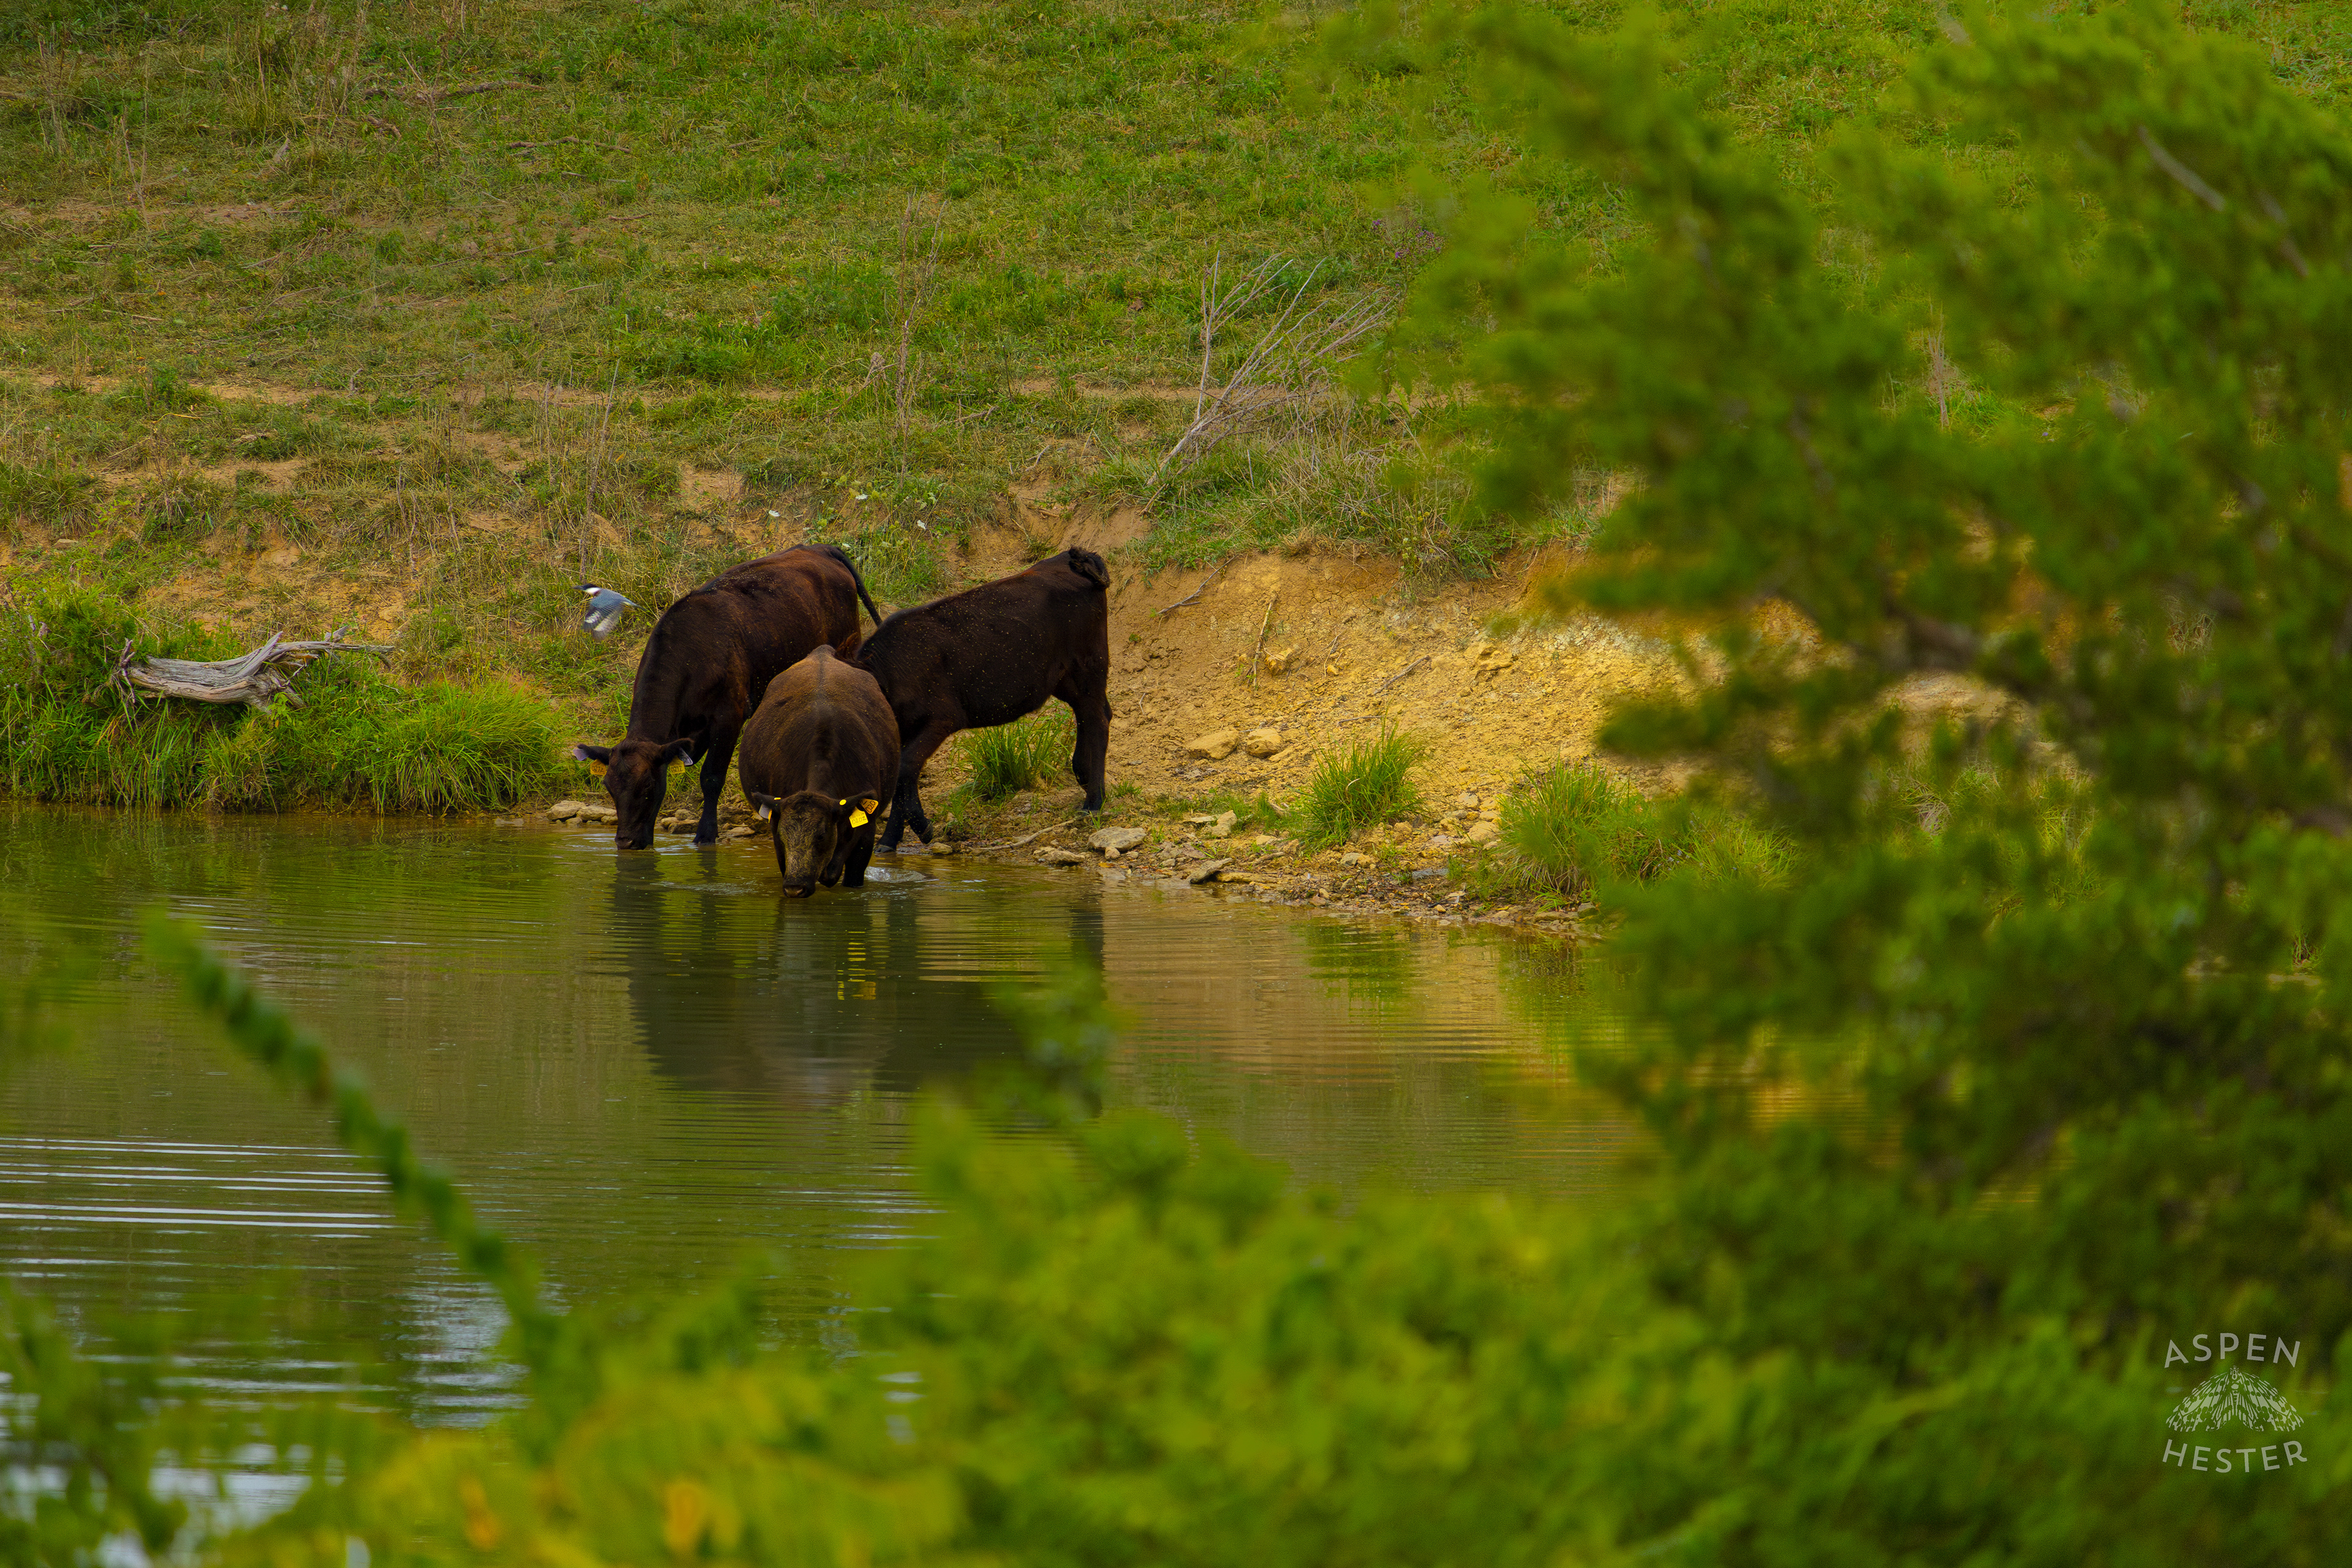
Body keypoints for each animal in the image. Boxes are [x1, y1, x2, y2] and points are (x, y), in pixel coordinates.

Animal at [570, 543, 883, 849]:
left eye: (647, 785)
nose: (625, 841)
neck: (691, 656)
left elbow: (711, 776)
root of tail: (819, 548)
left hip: (848, 649)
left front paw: (706, 835)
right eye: (608, 787)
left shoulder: (728, 715)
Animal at [739, 646, 900, 896]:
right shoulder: (776, 830)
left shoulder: (867, 830)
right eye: (784, 835)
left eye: (821, 835)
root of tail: (823, 652)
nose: (795, 887)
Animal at [853, 545, 1111, 850]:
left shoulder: (942, 718)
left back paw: (1093, 802)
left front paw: (921, 828)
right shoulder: (904, 730)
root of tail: (1072, 558)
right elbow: (902, 779)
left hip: (1088, 666)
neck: (888, 671)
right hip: (1066, 679)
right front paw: (890, 840)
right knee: (1090, 715)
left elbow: (906, 769)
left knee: (1098, 720)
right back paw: (1084, 777)